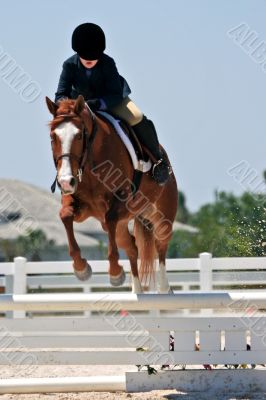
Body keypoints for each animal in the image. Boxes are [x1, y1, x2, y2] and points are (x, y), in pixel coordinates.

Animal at [46, 95, 179, 292]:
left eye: (79, 135)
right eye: (53, 136)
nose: (64, 181)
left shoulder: (121, 203)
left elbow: (110, 218)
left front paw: (115, 272)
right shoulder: (81, 206)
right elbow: (65, 216)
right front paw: (81, 268)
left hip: (161, 214)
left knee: (160, 243)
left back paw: (164, 288)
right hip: (124, 226)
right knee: (132, 247)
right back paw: (136, 290)